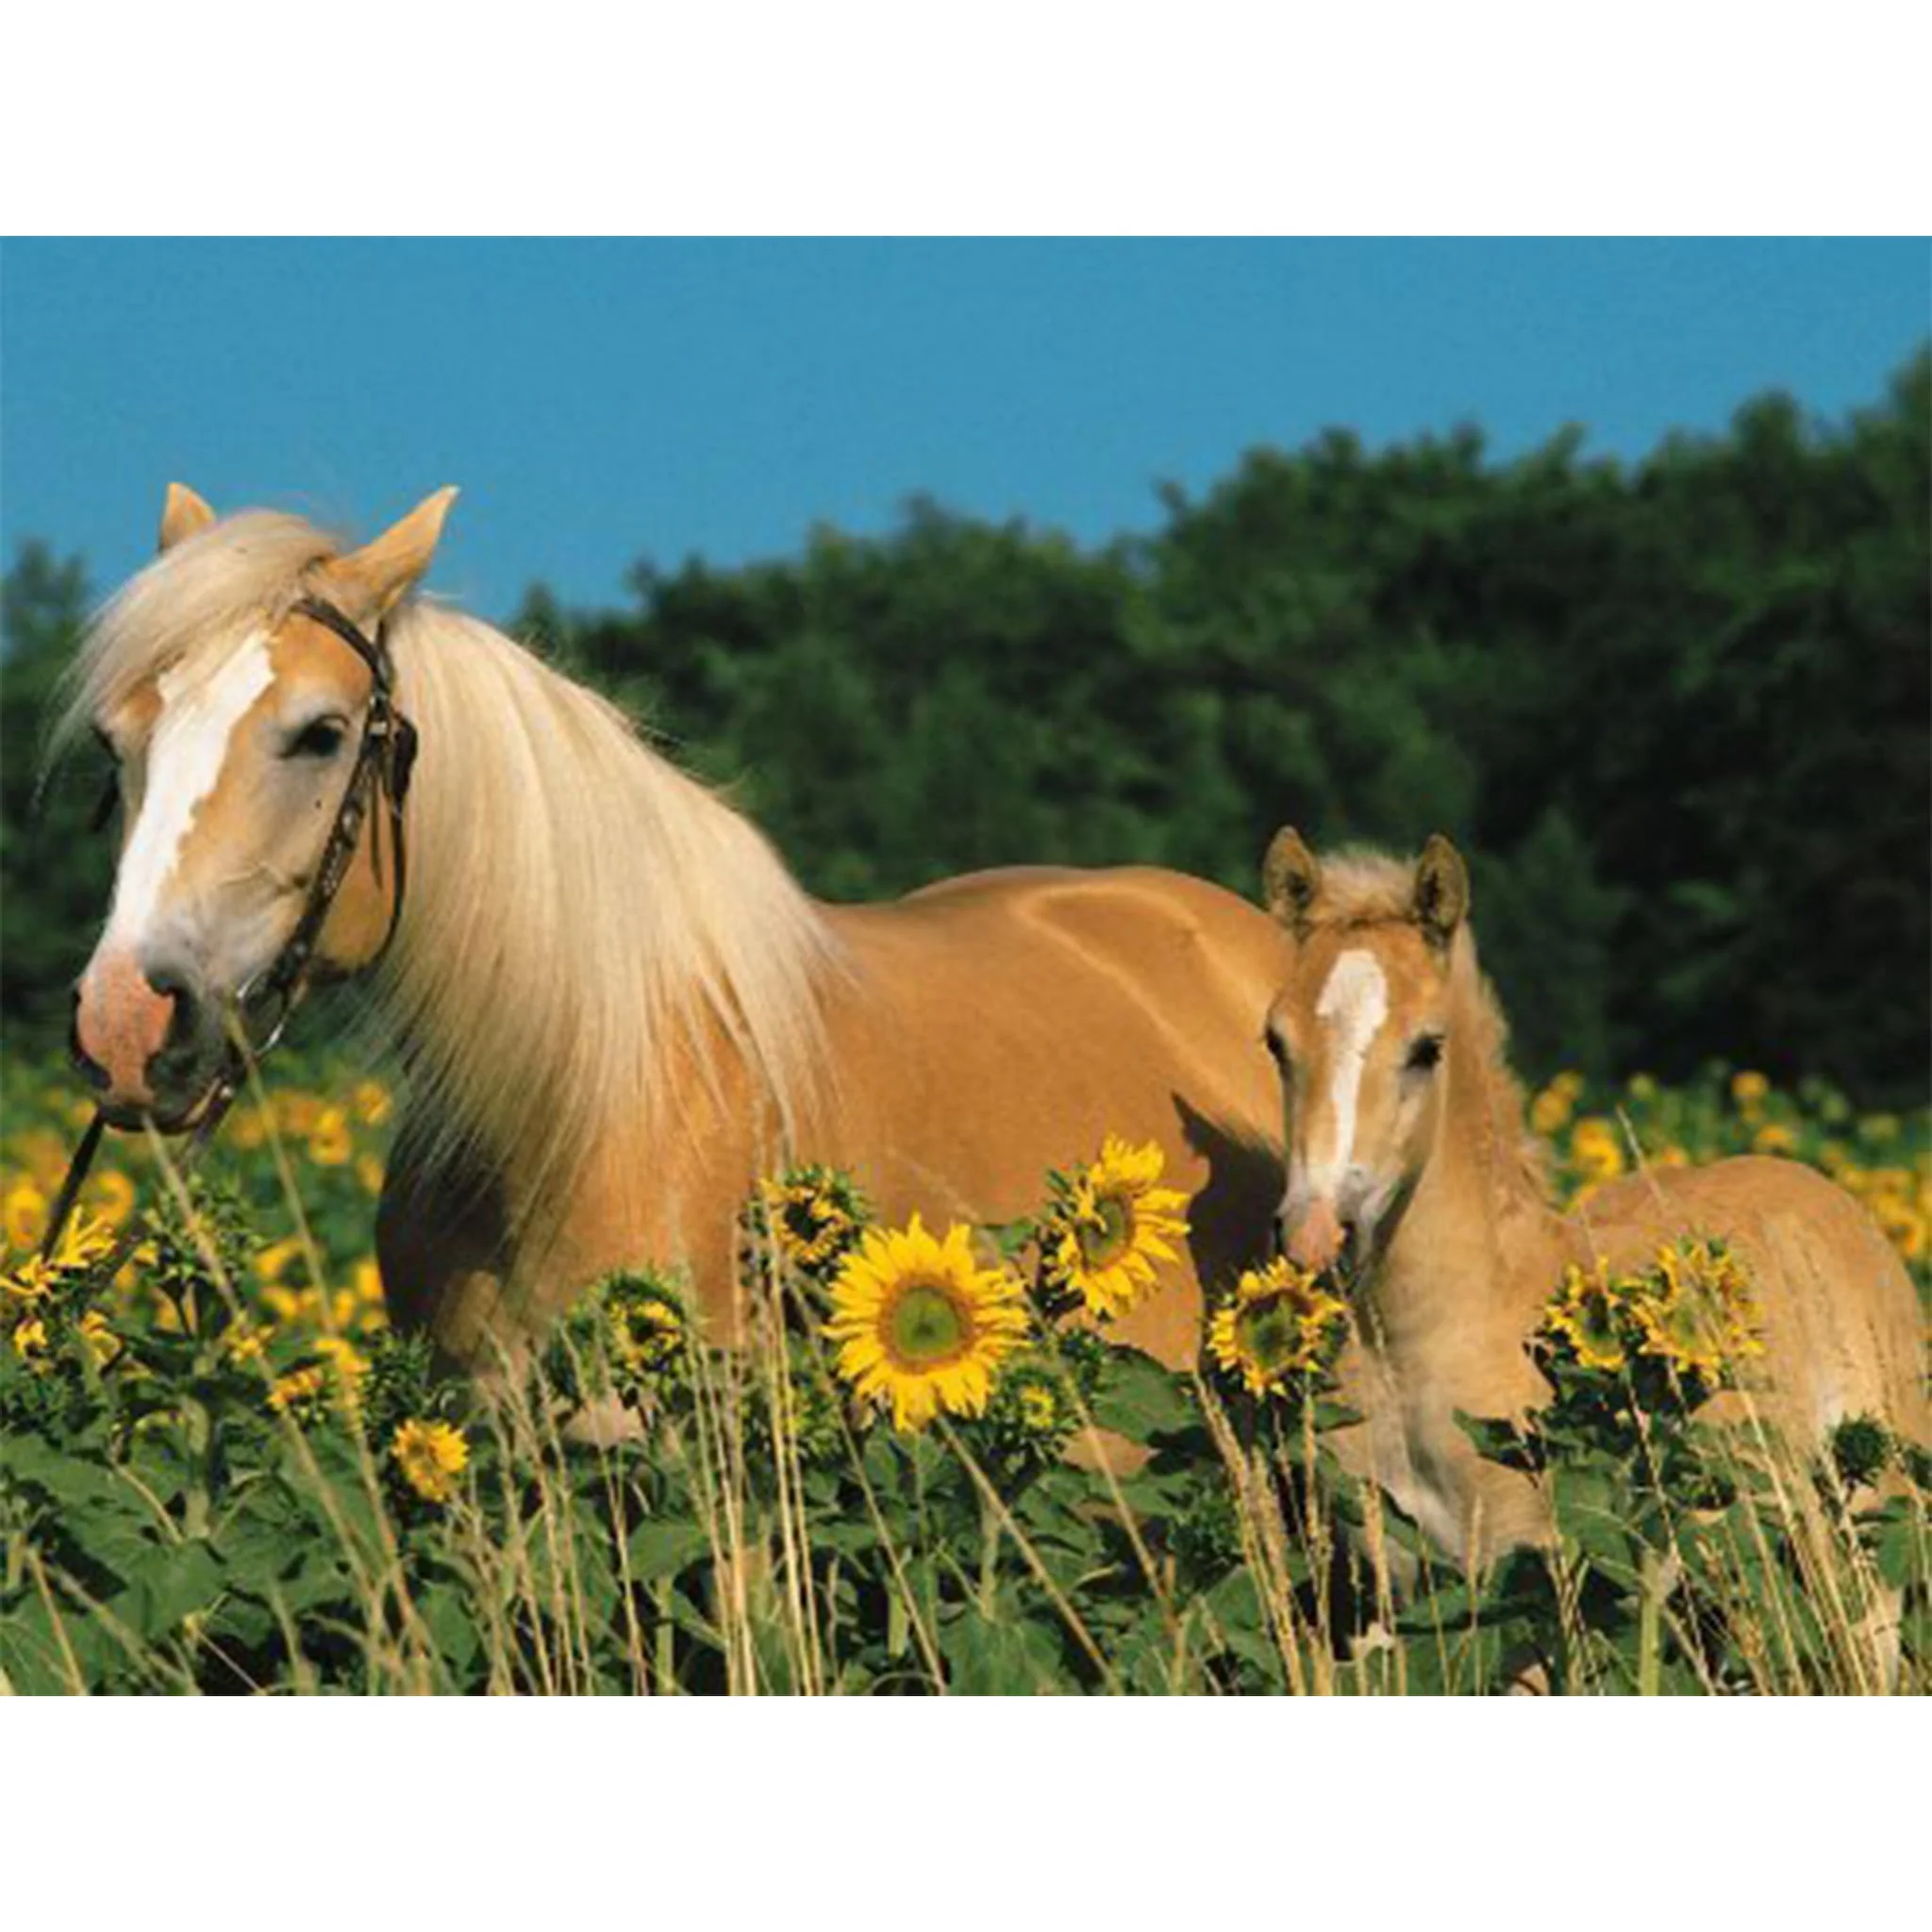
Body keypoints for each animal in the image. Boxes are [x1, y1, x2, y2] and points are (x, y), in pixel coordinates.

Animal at [1254, 826, 1926, 1652]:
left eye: (1426, 1048)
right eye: (1275, 1041)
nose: (1317, 1230)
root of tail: (1834, 1198)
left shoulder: (1532, 1596)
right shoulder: (1388, 1596)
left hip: (1864, 1557)